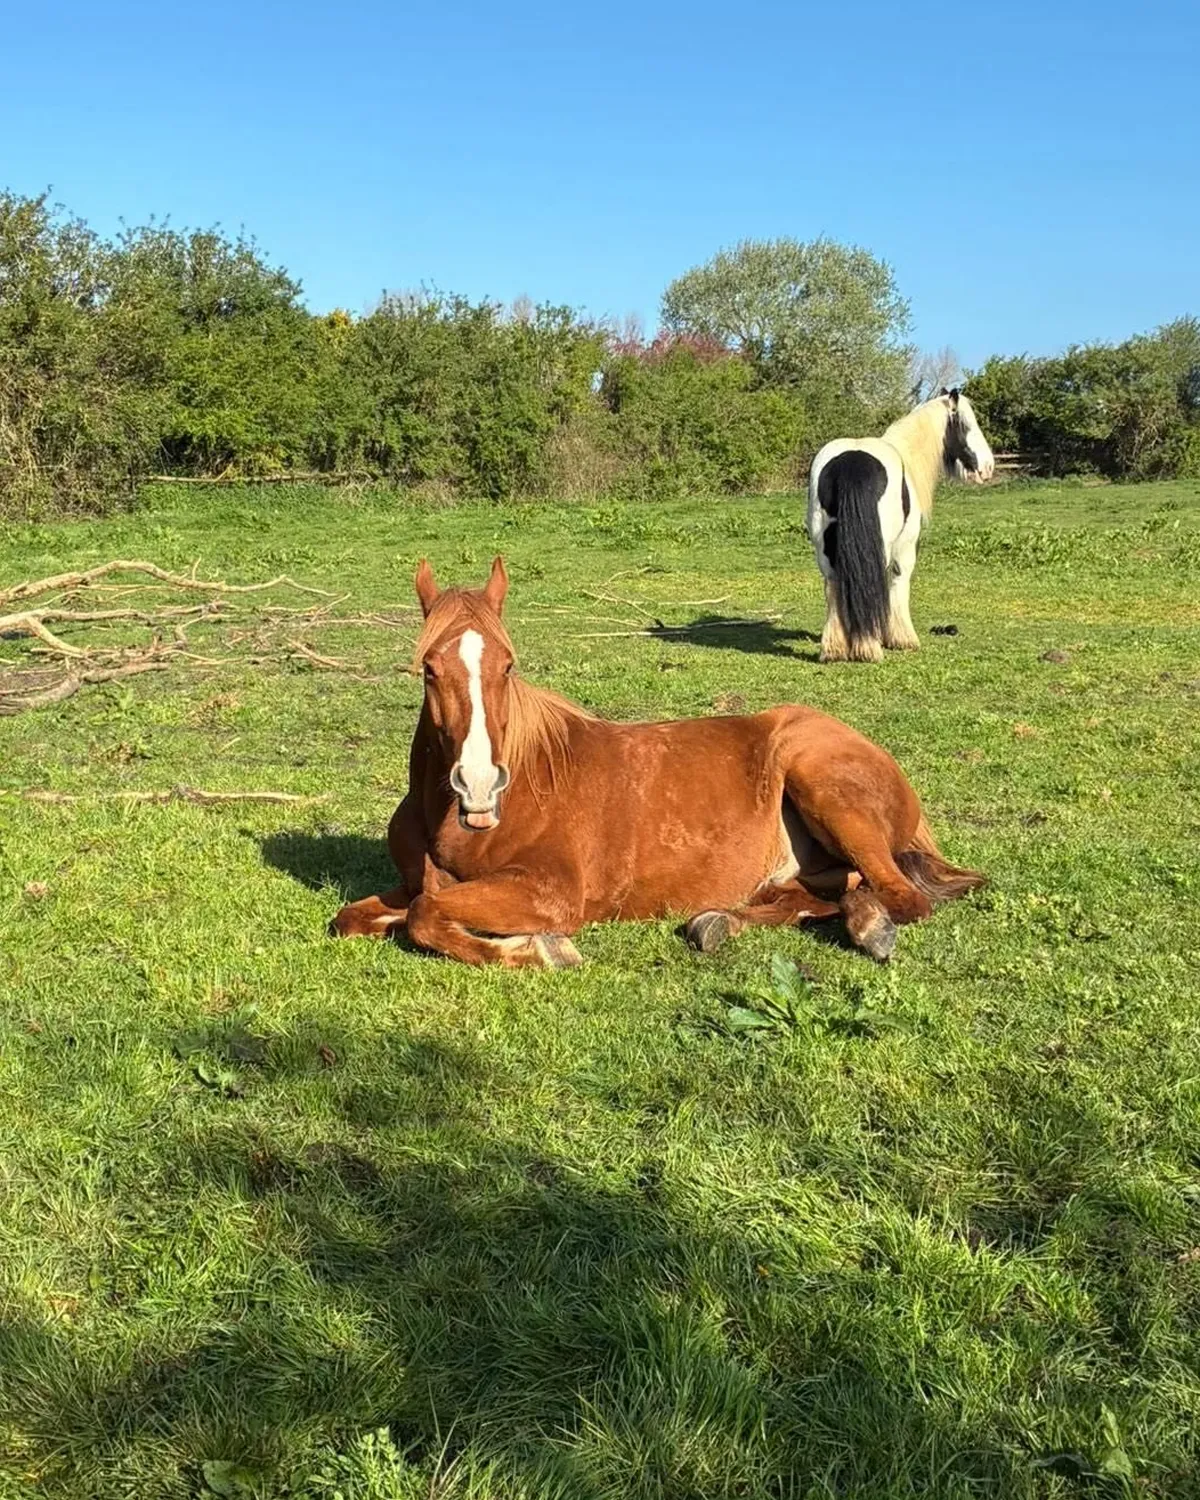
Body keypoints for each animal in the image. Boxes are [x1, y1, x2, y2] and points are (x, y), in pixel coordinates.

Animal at [331, 557, 985, 967]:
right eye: (429, 669)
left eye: (508, 666)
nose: (478, 785)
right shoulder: (409, 884)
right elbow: (358, 916)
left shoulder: (551, 893)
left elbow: (425, 913)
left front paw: (539, 950)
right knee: (817, 894)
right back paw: (717, 922)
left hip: (825, 788)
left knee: (899, 896)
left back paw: (869, 929)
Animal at [807, 388, 995, 663]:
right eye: (966, 424)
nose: (988, 466)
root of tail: (852, 462)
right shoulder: (905, 548)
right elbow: (898, 582)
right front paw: (902, 639)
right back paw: (868, 648)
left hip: (825, 548)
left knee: (832, 585)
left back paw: (835, 649)